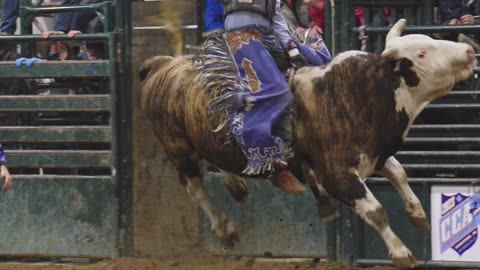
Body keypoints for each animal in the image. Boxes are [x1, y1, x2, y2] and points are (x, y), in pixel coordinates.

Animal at [139, 18, 476, 268]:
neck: (359, 94)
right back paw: (225, 228)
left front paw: (418, 215)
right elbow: (377, 211)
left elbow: (400, 174)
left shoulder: (376, 155)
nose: (469, 49)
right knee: (195, 187)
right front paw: (402, 254)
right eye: (422, 53)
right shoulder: (337, 176)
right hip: (178, 148)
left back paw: (236, 186)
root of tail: (163, 65)